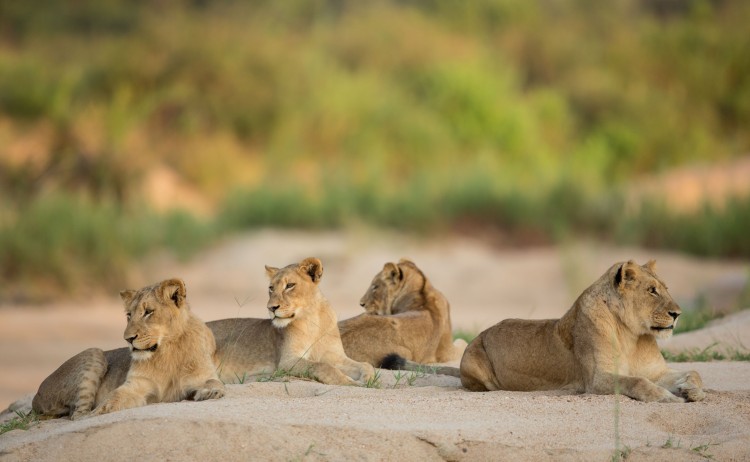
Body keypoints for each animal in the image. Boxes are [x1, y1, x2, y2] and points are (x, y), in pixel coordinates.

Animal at [31, 278, 224, 419]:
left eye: (148, 312)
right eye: (129, 315)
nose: (128, 339)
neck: (165, 351)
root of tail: (36, 396)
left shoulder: (201, 375)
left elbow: (213, 381)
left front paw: (212, 391)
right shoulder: (137, 385)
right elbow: (113, 398)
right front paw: (99, 411)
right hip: (94, 352)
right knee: (76, 414)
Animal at [211, 257, 376, 386]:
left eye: (289, 285)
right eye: (271, 288)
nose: (271, 308)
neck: (313, 319)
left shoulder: (335, 356)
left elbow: (366, 365)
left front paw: (368, 379)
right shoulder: (287, 361)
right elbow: (322, 366)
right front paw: (349, 382)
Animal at [459, 260, 705, 403]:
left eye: (665, 288)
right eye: (652, 290)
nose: (678, 314)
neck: (632, 335)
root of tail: (482, 333)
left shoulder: (656, 371)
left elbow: (694, 372)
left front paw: (692, 391)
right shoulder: (597, 379)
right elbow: (637, 381)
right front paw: (667, 397)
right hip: (473, 361)